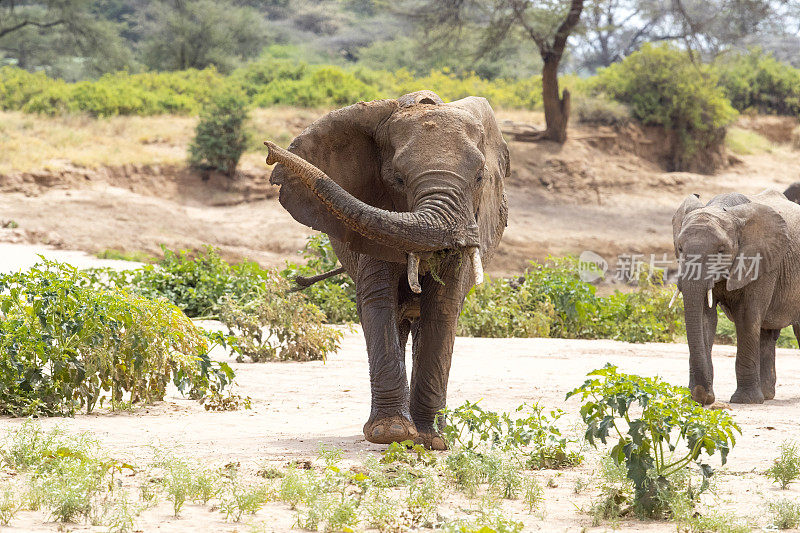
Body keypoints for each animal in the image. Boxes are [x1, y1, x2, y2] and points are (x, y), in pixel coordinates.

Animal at [266, 89, 510, 446]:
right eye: (397, 178)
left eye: (480, 177)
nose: (270, 152)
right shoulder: (375, 213)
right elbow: (378, 301)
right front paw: (391, 433)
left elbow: (443, 306)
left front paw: (432, 440)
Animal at [672, 191, 800, 404]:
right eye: (680, 248)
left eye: (721, 249)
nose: (703, 397)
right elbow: (705, 318)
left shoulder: (762, 262)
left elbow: (747, 317)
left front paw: (745, 401)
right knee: (766, 333)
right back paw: (766, 395)